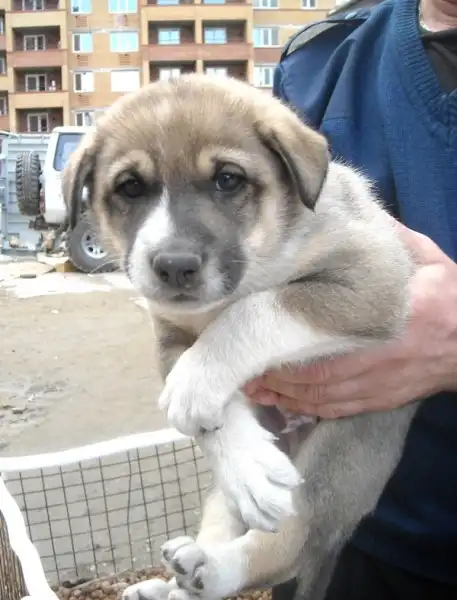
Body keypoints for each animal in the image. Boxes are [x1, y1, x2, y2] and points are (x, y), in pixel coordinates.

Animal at [63, 74, 419, 600]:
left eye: (228, 179)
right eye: (130, 187)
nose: (174, 265)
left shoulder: (375, 277)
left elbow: (255, 310)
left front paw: (198, 385)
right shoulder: (170, 337)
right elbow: (209, 412)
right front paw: (246, 462)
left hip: (341, 458)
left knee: (290, 543)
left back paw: (217, 568)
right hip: (230, 494)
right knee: (221, 522)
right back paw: (177, 577)